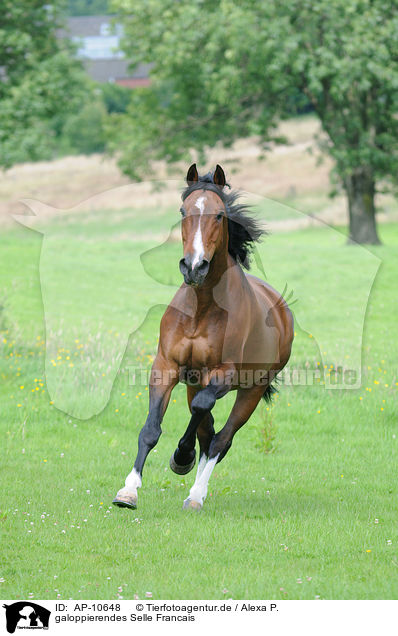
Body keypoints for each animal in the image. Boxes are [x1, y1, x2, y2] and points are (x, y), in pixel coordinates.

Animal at [112, 165, 292, 512]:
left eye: (220, 215)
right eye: (183, 211)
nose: (194, 266)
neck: (203, 307)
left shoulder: (223, 374)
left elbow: (203, 413)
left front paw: (181, 456)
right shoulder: (166, 366)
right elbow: (151, 429)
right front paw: (128, 491)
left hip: (251, 390)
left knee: (221, 438)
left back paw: (196, 494)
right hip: (194, 381)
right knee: (207, 432)